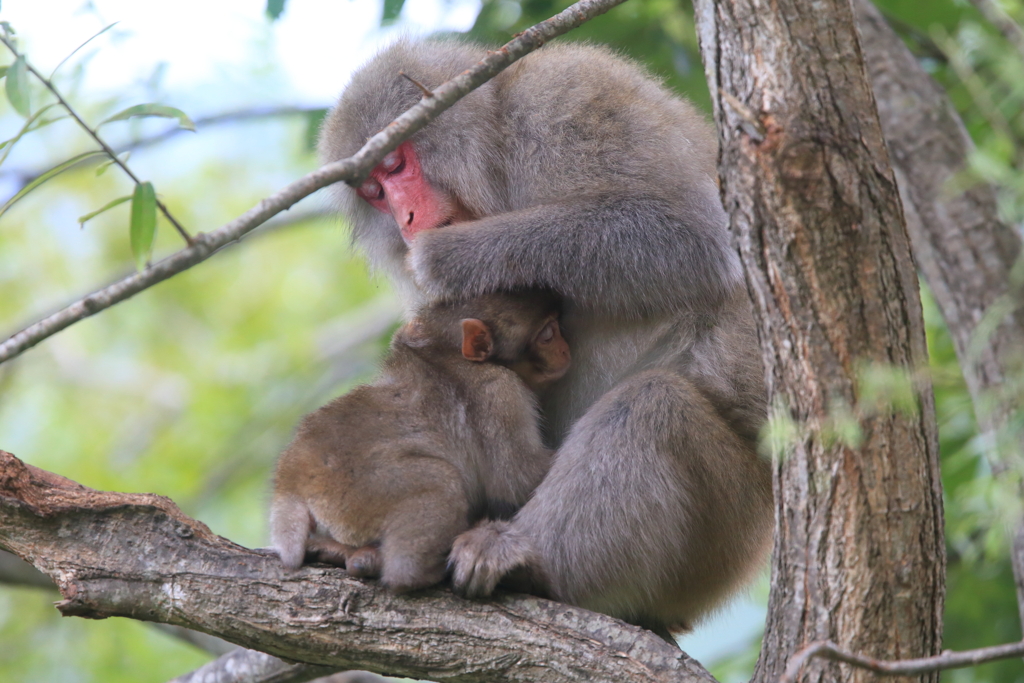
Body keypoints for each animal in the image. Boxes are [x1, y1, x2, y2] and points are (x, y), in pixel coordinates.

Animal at [268, 290, 573, 593]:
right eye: (547, 334)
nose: (565, 350)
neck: (448, 353)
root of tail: (291, 478)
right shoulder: (499, 392)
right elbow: (519, 479)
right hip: (359, 490)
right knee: (439, 481)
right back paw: (418, 574)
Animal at [319, 40, 770, 634]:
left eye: (397, 164)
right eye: (373, 192)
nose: (407, 218)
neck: (496, 159)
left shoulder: (567, 101)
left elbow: (692, 232)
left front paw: (454, 256)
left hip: (727, 531)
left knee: (651, 406)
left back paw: (527, 560)